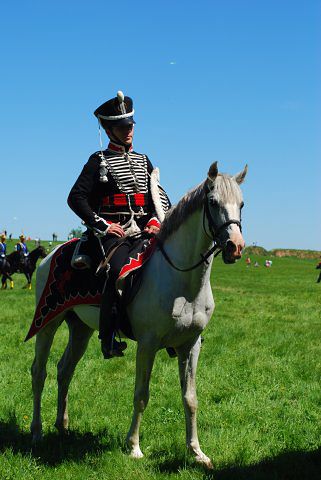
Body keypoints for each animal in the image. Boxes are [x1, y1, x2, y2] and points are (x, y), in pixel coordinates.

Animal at [30, 162, 246, 468]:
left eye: (241, 204)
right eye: (213, 202)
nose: (235, 246)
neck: (182, 280)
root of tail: (51, 255)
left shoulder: (190, 345)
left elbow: (190, 398)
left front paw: (196, 452)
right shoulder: (147, 344)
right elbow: (141, 395)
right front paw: (133, 446)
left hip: (81, 328)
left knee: (65, 370)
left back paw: (62, 426)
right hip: (48, 322)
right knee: (40, 372)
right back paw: (37, 431)